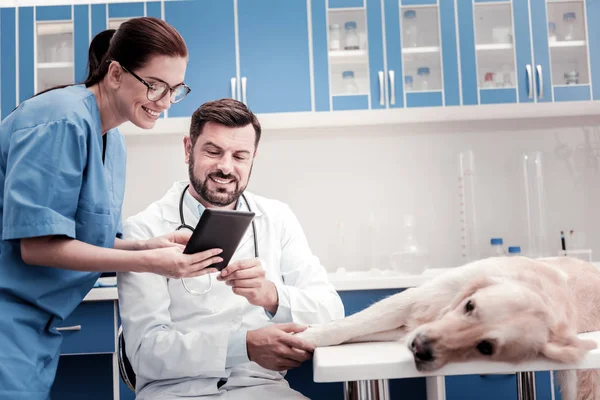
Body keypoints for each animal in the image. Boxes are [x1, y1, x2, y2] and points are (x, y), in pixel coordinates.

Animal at [296, 256, 600, 400]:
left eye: (484, 348)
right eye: (469, 306)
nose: (420, 346)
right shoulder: (415, 299)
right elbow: (349, 324)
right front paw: (311, 332)